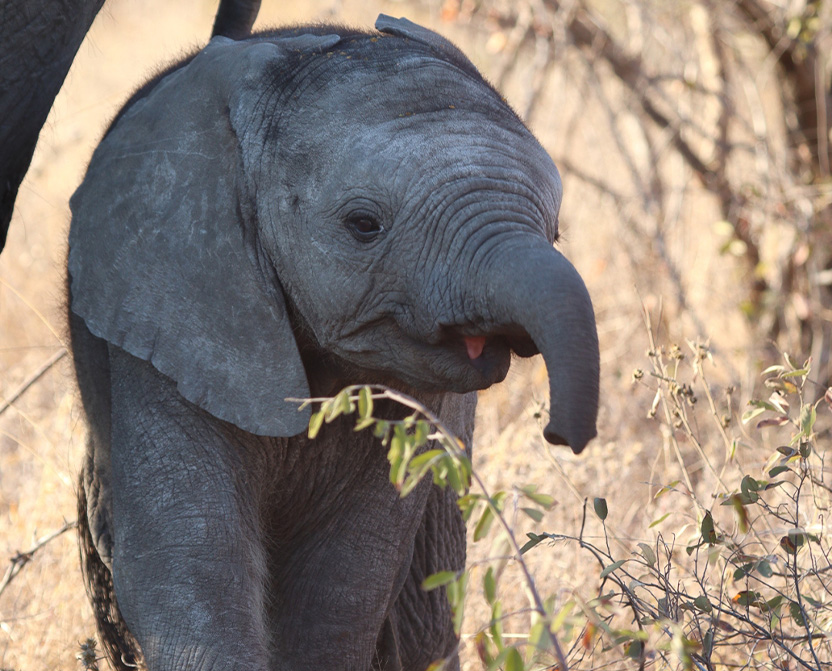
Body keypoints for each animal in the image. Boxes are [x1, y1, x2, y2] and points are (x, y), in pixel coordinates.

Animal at [67, 13, 600, 671]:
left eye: (557, 232)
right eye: (363, 225)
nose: (560, 434)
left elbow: (345, 578)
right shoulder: (167, 316)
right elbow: (187, 563)